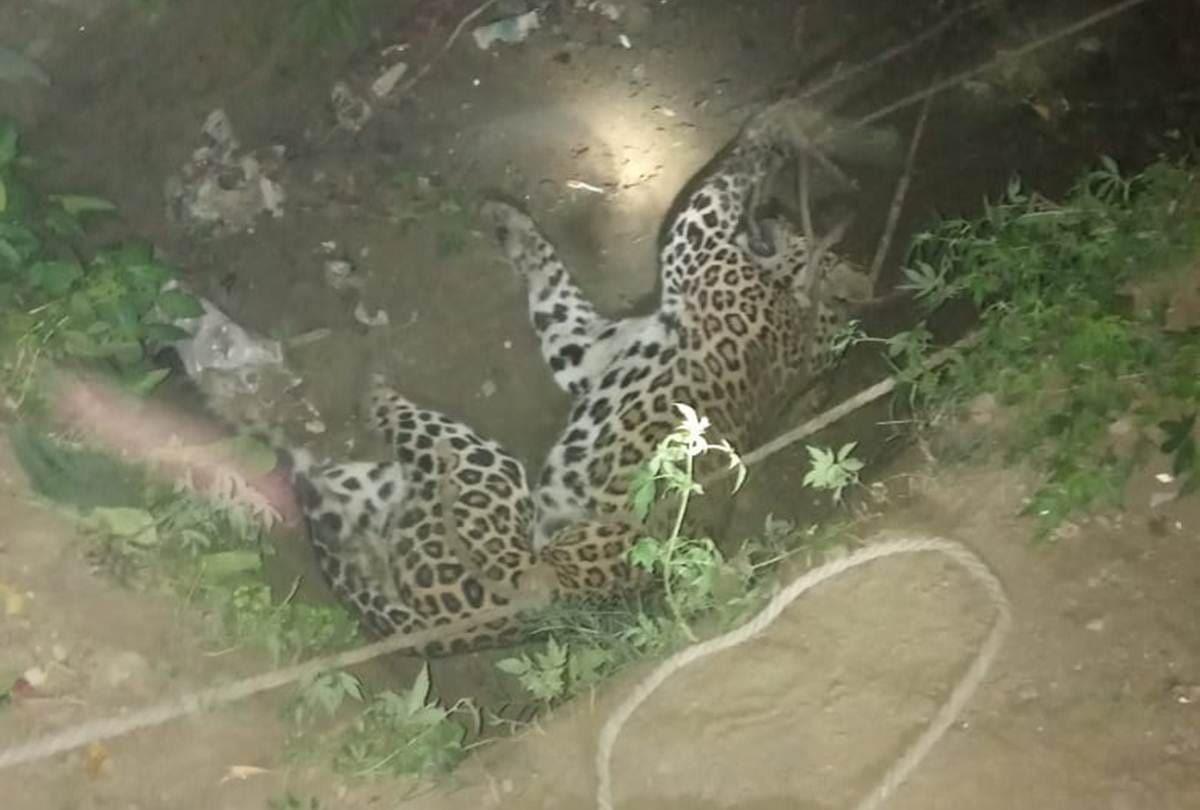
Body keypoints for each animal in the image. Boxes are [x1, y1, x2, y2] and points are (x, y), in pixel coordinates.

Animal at [285, 99, 874, 657]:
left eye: (796, 226)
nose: (777, 213)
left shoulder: (694, 240)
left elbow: (726, 177)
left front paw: (769, 129)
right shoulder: (588, 347)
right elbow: (551, 276)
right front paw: (508, 220)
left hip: (476, 472)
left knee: (371, 441)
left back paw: (356, 392)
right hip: (401, 490)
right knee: (332, 496)